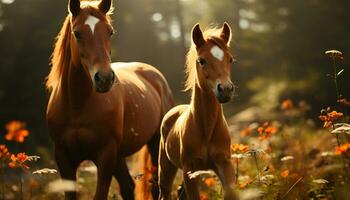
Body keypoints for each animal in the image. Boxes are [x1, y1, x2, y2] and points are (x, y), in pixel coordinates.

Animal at [45, 0, 174, 199]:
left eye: (110, 31)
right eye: (77, 33)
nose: (105, 78)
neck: (77, 105)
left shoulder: (105, 155)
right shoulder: (63, 157)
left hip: (154, 144)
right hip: (120, 155)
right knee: (128, 186)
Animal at [159, 23, 238, 200]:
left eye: (230, 59)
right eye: (202, 61)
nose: (226, 89)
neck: (206, 129)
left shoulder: (224, 163)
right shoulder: (190, 169)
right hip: (166, 168)